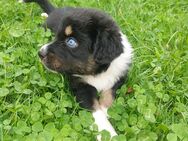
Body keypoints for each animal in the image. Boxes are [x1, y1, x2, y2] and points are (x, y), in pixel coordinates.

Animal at [21, 0, 133, 139]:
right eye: (56, 37)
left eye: (71, 42)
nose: (40, 53)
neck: (97, 72)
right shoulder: (81, 86)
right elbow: (95, 109)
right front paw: (108, 133)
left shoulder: (118, 77)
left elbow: (108, 97)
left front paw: (106, 113)